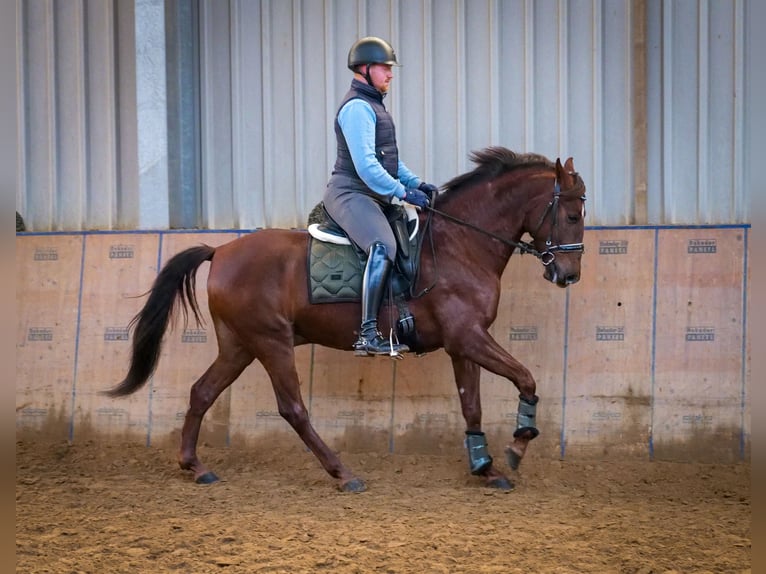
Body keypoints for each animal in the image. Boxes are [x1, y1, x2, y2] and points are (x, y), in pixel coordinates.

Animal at [106, 148, 588, 496]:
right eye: (571, 214)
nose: (568, 275)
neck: (459, 244)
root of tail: (220, 251)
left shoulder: (462, 343)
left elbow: (473, 404)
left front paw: (485, 467)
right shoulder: (469, 337)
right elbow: (525, 378)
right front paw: (517, 444)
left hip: (240, 344)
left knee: (202, 392)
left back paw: (195, 467)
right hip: (271, 341)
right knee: (292, 408)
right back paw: (343, 473)